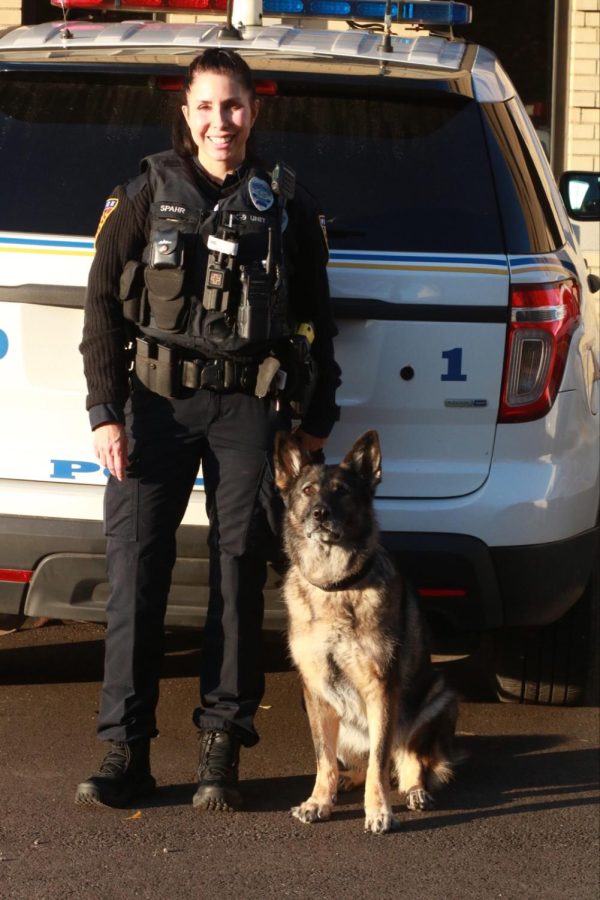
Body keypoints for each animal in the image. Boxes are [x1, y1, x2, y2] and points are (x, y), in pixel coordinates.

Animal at [274, 432, 458, 832]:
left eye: (342, 492)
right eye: (308, 490)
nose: (320, 513)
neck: (335, 586)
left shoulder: (381, 689)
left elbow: (379, 760)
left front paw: (378, 810)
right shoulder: (315, 692)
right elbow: (324, 759)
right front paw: (319, 801)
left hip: (438, 697)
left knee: (407, 760)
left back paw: (415, 791)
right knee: (360, 762)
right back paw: (345, 782)